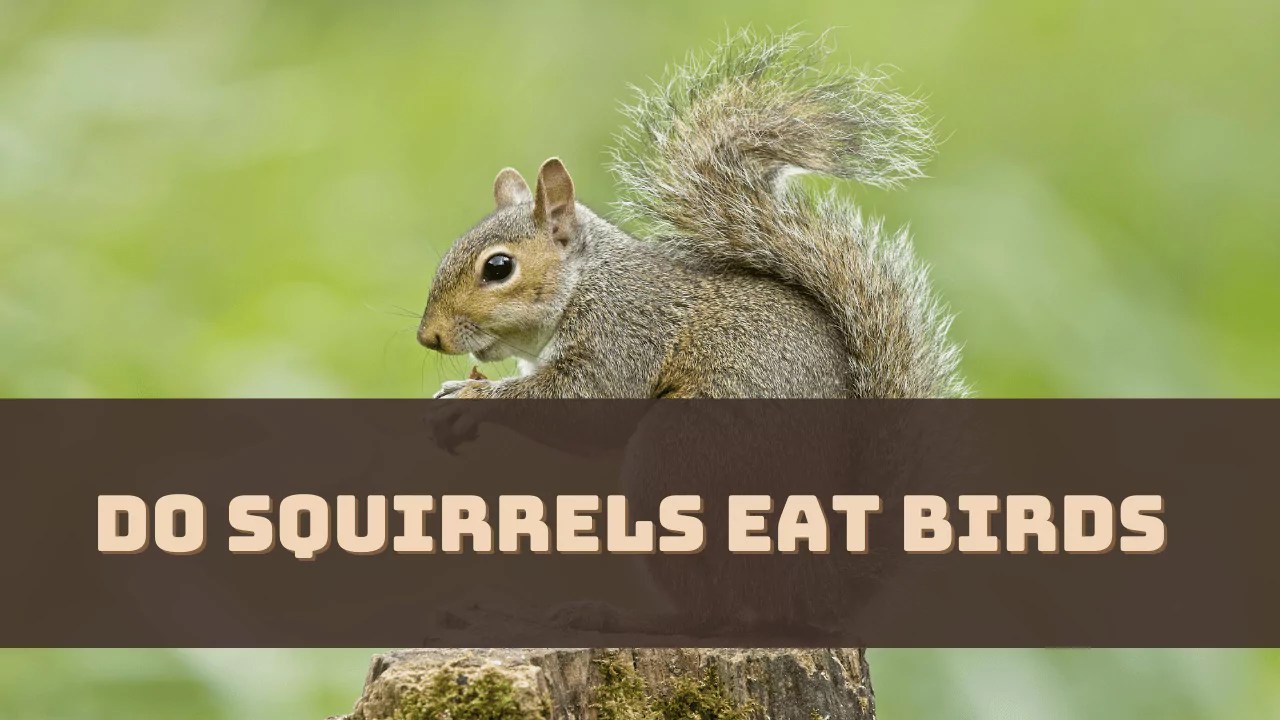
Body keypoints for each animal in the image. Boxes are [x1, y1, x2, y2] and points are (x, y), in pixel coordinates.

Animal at [418, 31, 966, 400]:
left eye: (499, 267)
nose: (429, 337)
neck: (586, 284)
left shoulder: (622, 336)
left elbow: (578, 393)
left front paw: (470, 393)